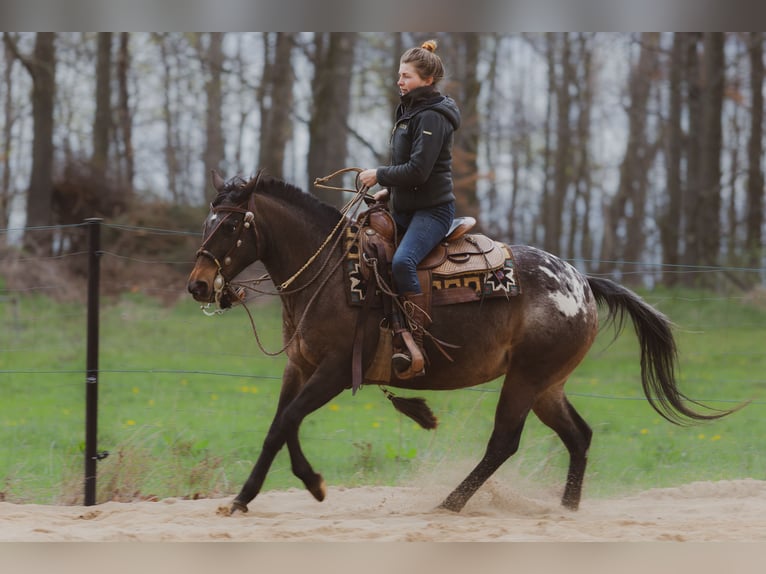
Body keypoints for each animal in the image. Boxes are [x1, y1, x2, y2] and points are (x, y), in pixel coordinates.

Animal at [186, 170, 736, 516]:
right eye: (207, 222)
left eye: (231, 224)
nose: (198, 285)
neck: (332, 275)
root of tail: (581, 282)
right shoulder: (299, 367)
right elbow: (279, 426)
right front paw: (245, 498)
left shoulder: (335, 372)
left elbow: (289, 421)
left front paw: (314, 485)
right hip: (548, 386)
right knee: (578, 437)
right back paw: (565, 509)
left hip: (526, 379)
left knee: (504, 442)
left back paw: (450, 503)